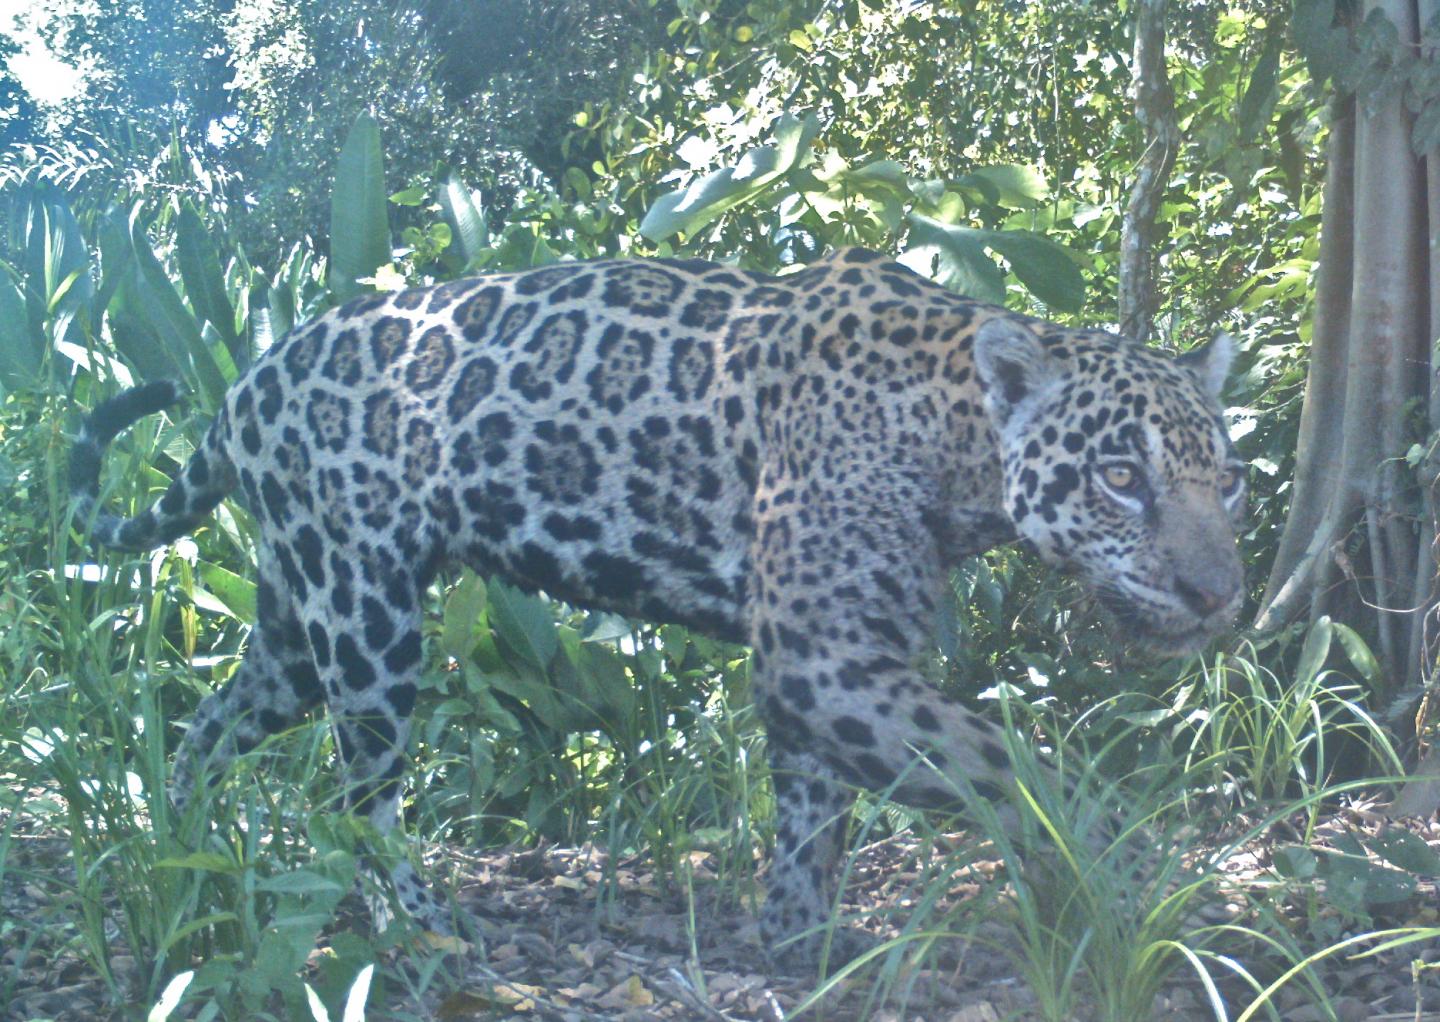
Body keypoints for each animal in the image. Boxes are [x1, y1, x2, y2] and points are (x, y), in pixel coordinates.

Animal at [71, 246, 1246, 968]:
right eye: (1120, 477)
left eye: (1224, 480)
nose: (1219, 595)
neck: (953, 436)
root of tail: (244, 381)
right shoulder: (821, 656)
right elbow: (1015, 761)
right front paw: (1127, 881)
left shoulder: (832, 659)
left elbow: (814, 817)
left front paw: (798, 942)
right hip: (365, 617)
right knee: (358, 797)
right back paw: (426, 927)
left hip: (293, 614)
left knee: (211, 725)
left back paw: (177, 847)